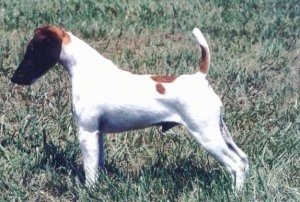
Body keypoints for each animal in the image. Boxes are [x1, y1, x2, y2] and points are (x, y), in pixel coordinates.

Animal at [10, 25, 248, 189]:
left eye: (32, 50)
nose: (14, 78)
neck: (88, 70)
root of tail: (200, 77)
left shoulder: (87, 132)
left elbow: (89, 168)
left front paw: (90, 190)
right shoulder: (98, 134)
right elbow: (98, 163)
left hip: (207, 136)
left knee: (235, 163)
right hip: (220, 132)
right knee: (243, 159)